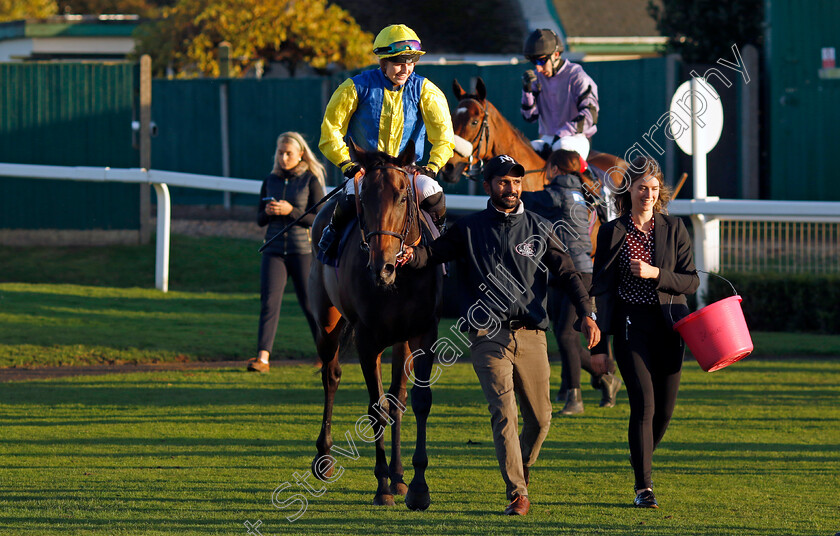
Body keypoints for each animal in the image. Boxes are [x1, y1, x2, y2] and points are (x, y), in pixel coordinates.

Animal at [306, 140, 440, 508]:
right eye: (364, 199)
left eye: (403, 197)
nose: (382, 266)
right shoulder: (368, 340)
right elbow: (375, 408)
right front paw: (382, 485)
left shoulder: (422, 333)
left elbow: (417, 402)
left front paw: (415, 485)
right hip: (326, 319)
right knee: (330, 374)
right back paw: (325, 457)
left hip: (400, 340)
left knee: (398, 398)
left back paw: (399, 477)